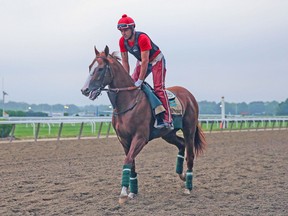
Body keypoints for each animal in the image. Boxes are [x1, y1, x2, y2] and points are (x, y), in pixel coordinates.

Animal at [81, 45, 207, 204]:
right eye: (89, 67)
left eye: (100, 69)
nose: (84, 90)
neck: (128, 102)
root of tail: (189, 95)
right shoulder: (124, 140)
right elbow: (131, 164)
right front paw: (132, 191)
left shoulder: (140, 138)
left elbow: (128, 160)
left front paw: (123, 192)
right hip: (168, 134)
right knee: (181, 144)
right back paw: (182, 175)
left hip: (189, 130)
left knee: (190, 155)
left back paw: (188, 187)